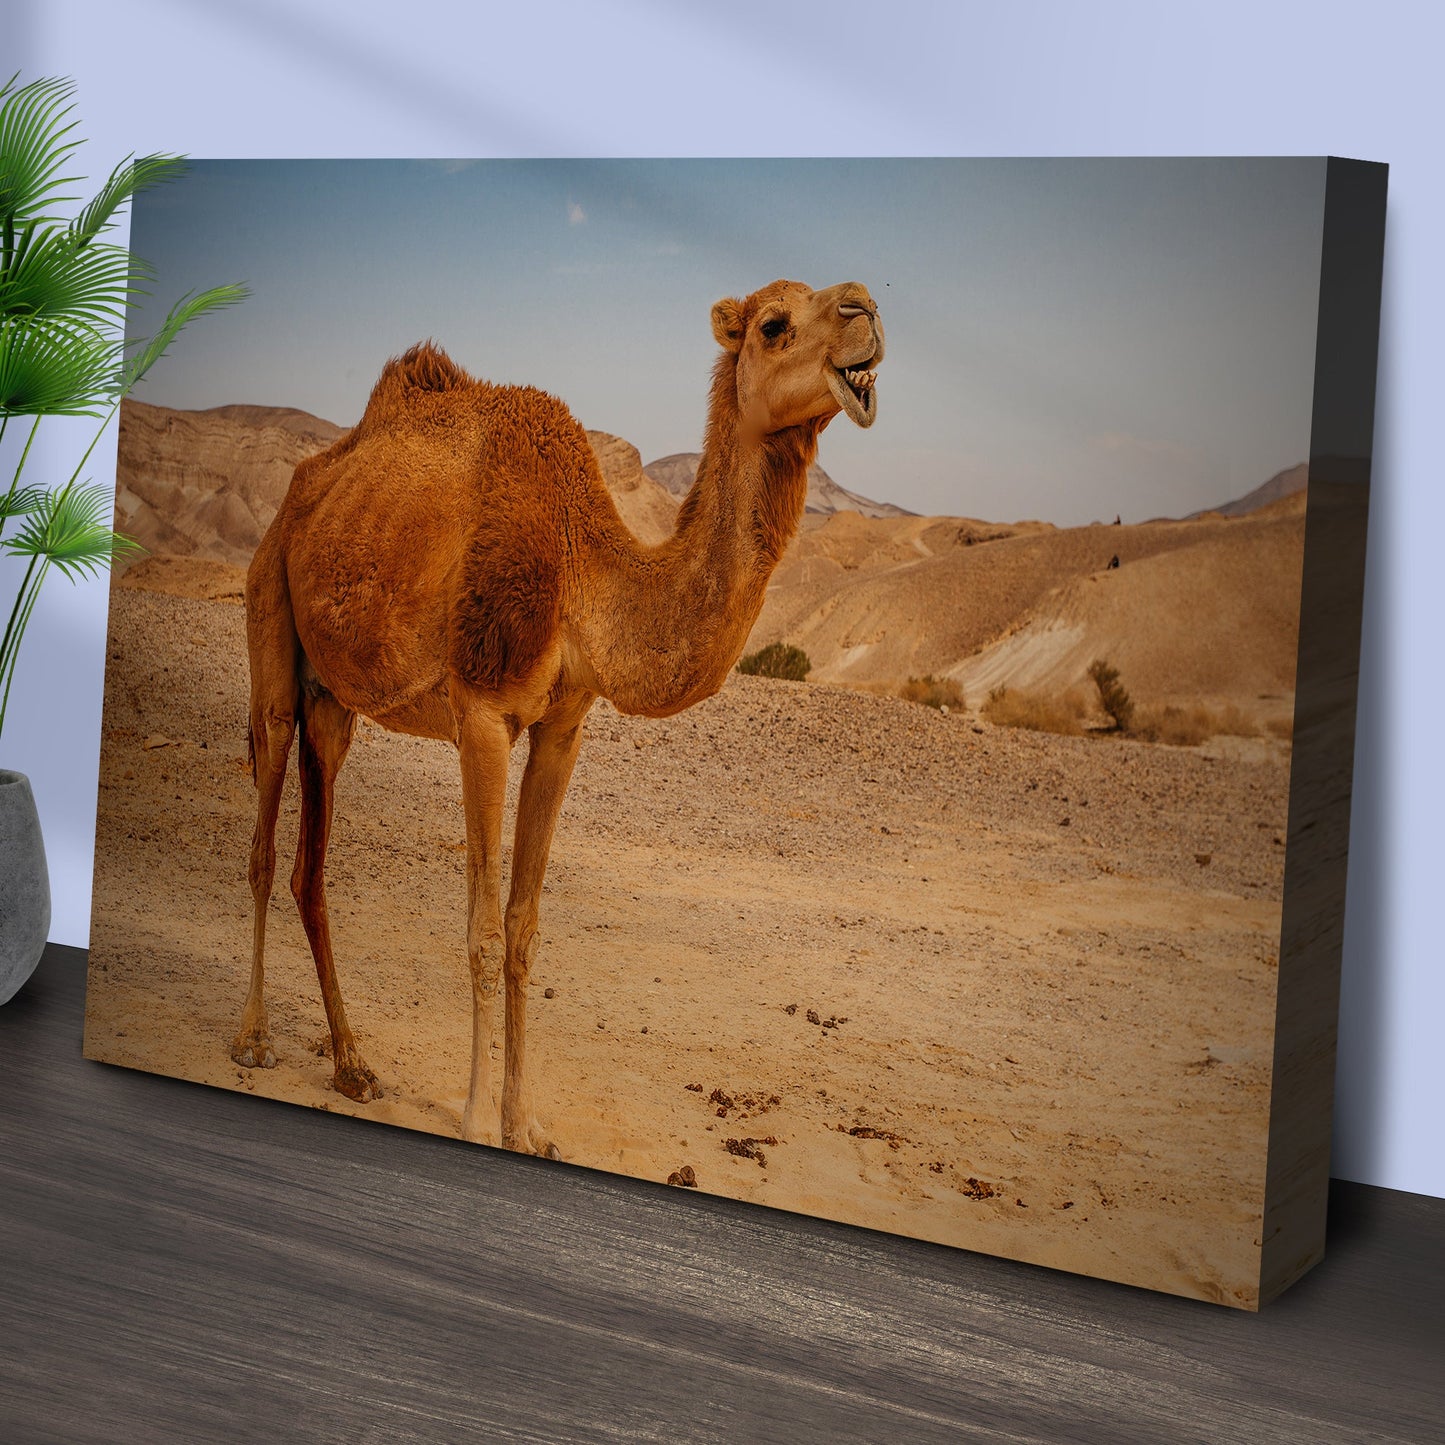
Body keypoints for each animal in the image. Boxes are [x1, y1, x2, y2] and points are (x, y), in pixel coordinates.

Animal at [230, 279, 885, 1156]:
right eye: (774, 324)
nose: (863, 309)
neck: (584, 573)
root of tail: (306, 486)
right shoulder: (481, 711)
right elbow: (480, 927)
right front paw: (476, 1119)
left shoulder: (561, 729)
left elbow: (523, 928)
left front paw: (525, 1122)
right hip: (271, 610)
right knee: (264, 841)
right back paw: (254, 1037)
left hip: (334, 699)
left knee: (311, 865)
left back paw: (352, 1063)